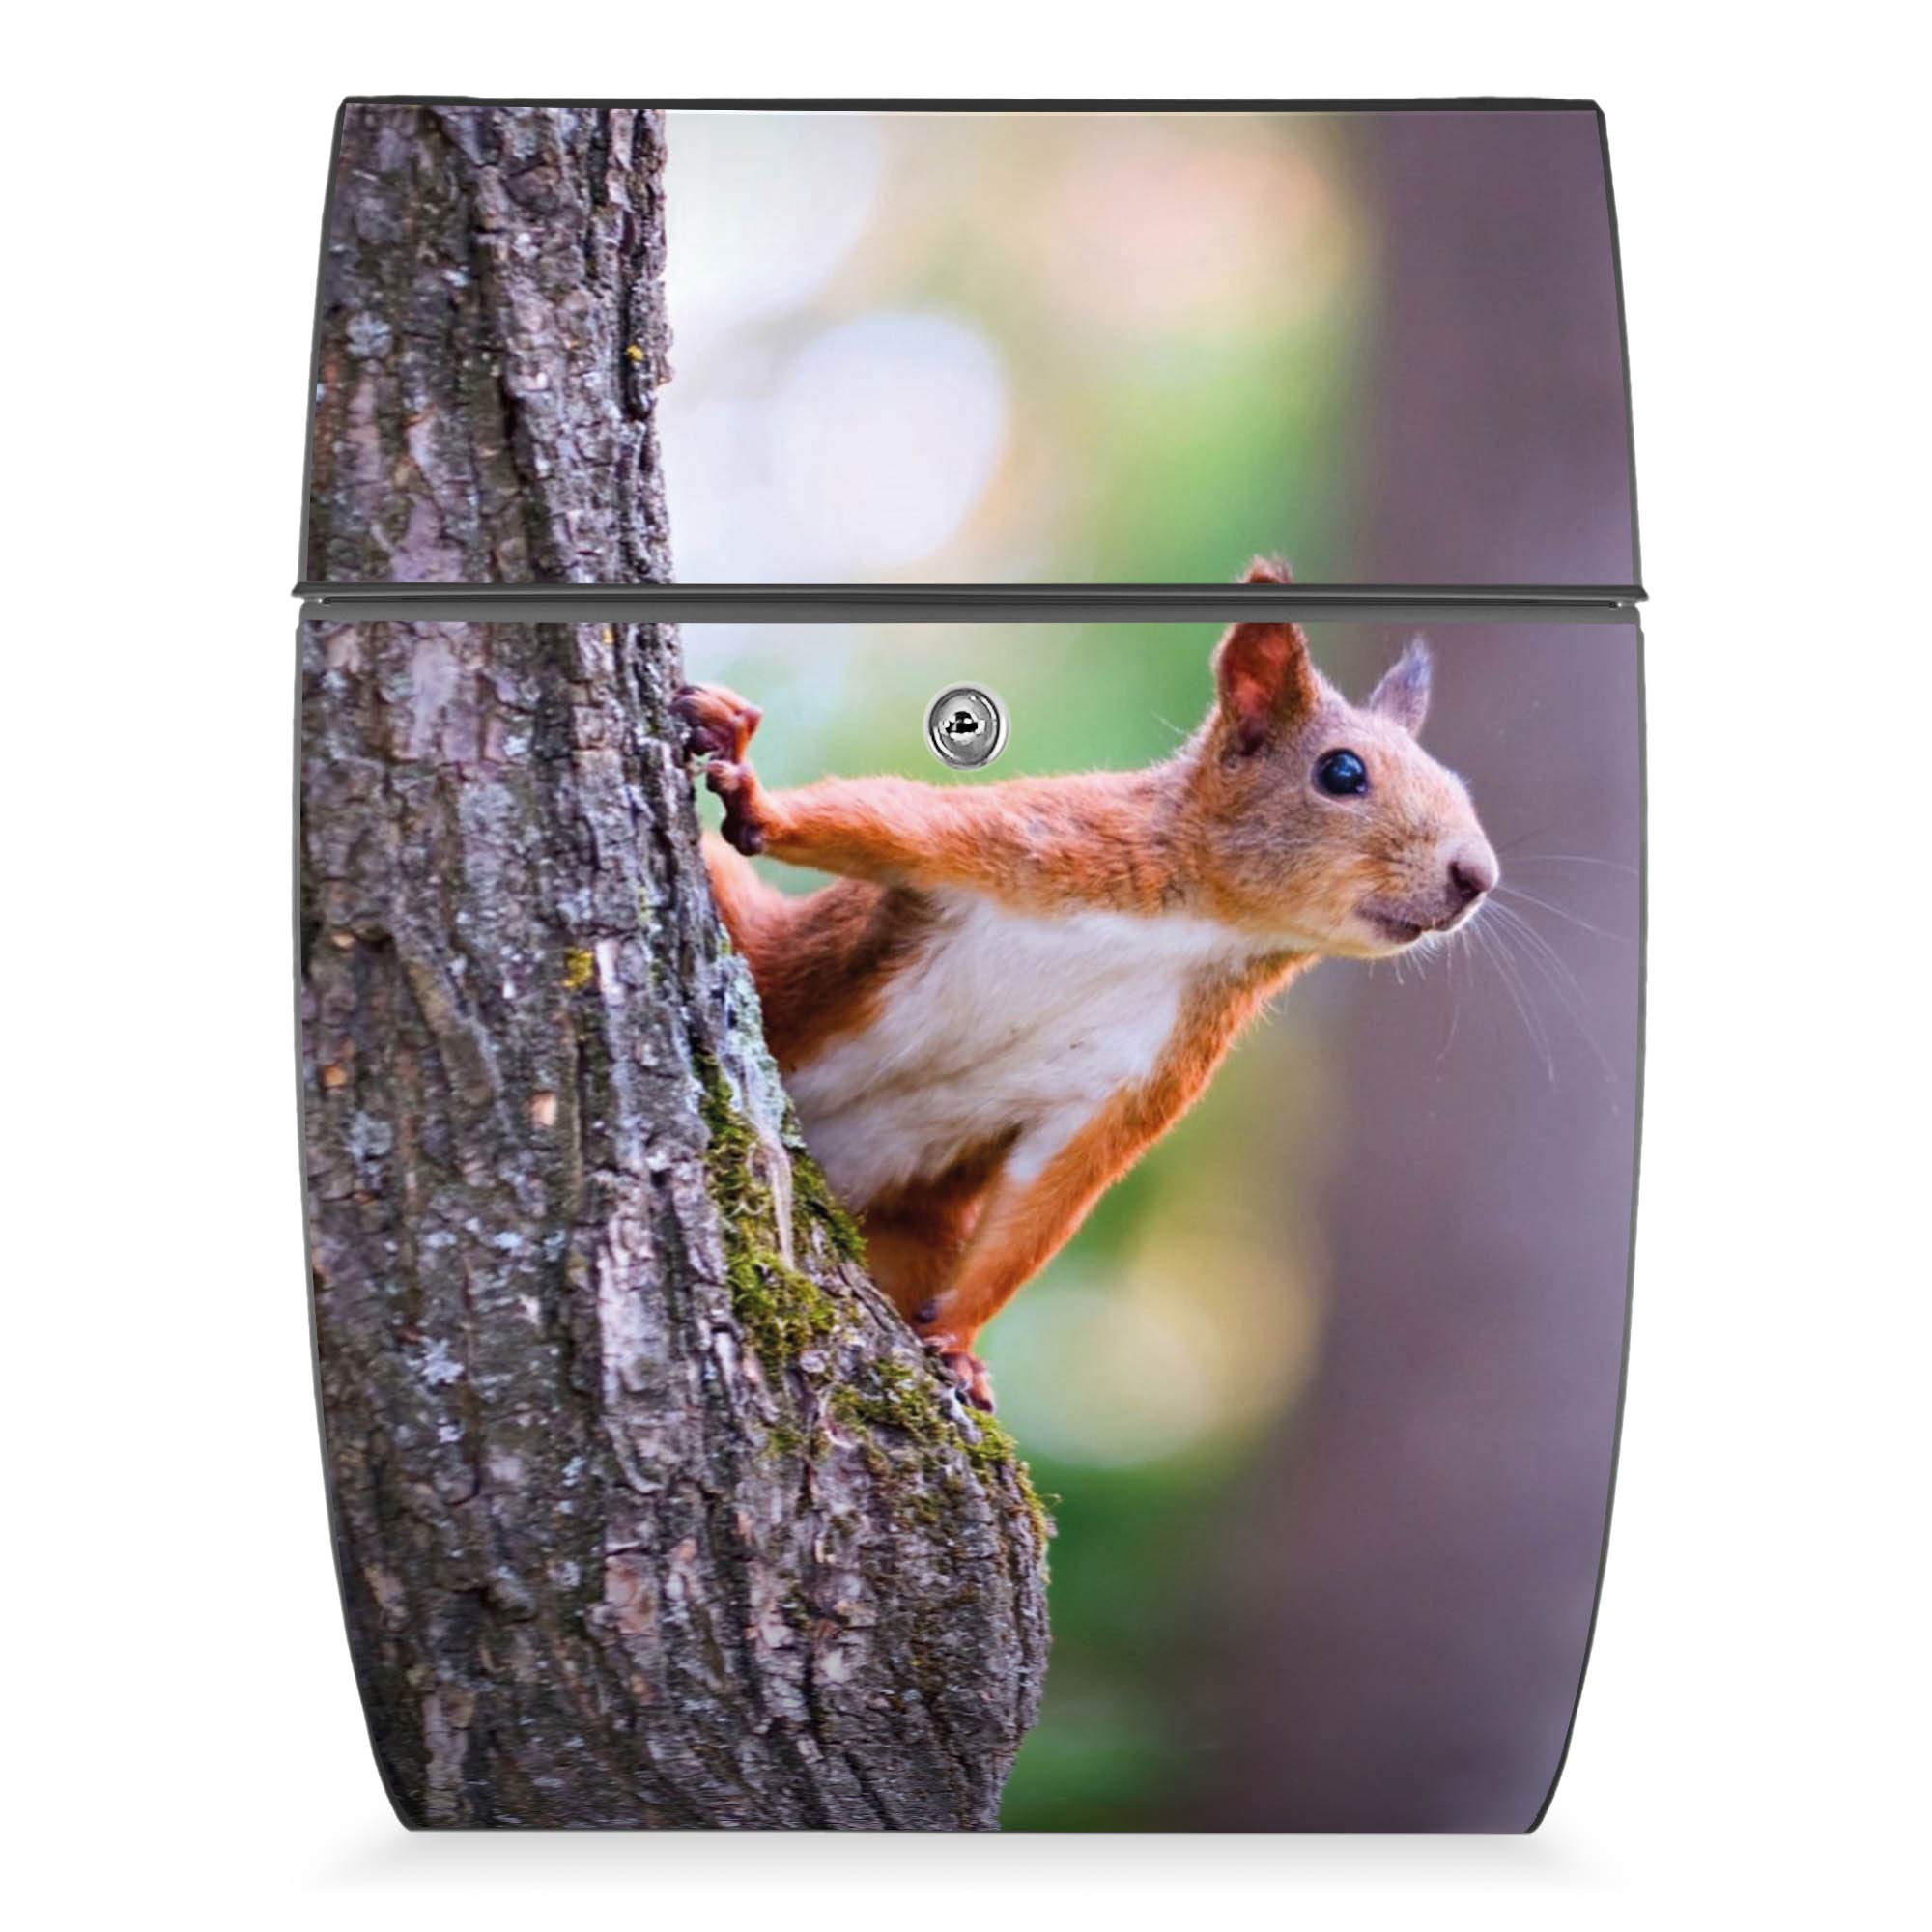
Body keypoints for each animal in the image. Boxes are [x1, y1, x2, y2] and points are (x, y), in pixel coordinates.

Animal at [672, 558, 1498, 1411]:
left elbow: (1050, 1195)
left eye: (1456, 784)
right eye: (1342, 772)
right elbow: (886, 821)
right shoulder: (1038, 840)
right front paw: (756, 797)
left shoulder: (1144, 1069)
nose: (1477, 876)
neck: (1201, 926)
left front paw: (958, 1342)